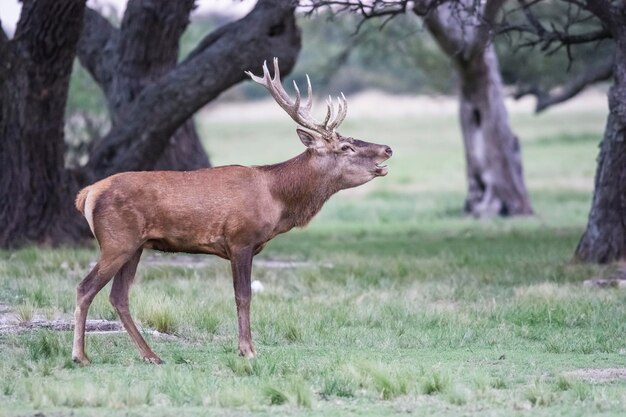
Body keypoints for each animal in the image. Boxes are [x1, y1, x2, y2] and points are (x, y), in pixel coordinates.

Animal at [72, 58, 390, 364]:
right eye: (346, 146)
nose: (387, 149)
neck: (276, 199)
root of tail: (86, 194)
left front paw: (245, 347)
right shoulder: (240, 239)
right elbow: (243, 296)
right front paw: (248, 349)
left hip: (135, 246)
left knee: (118, 296)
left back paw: (151, 355)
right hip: (116, 241)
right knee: (85, 288)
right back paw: (81, 356)